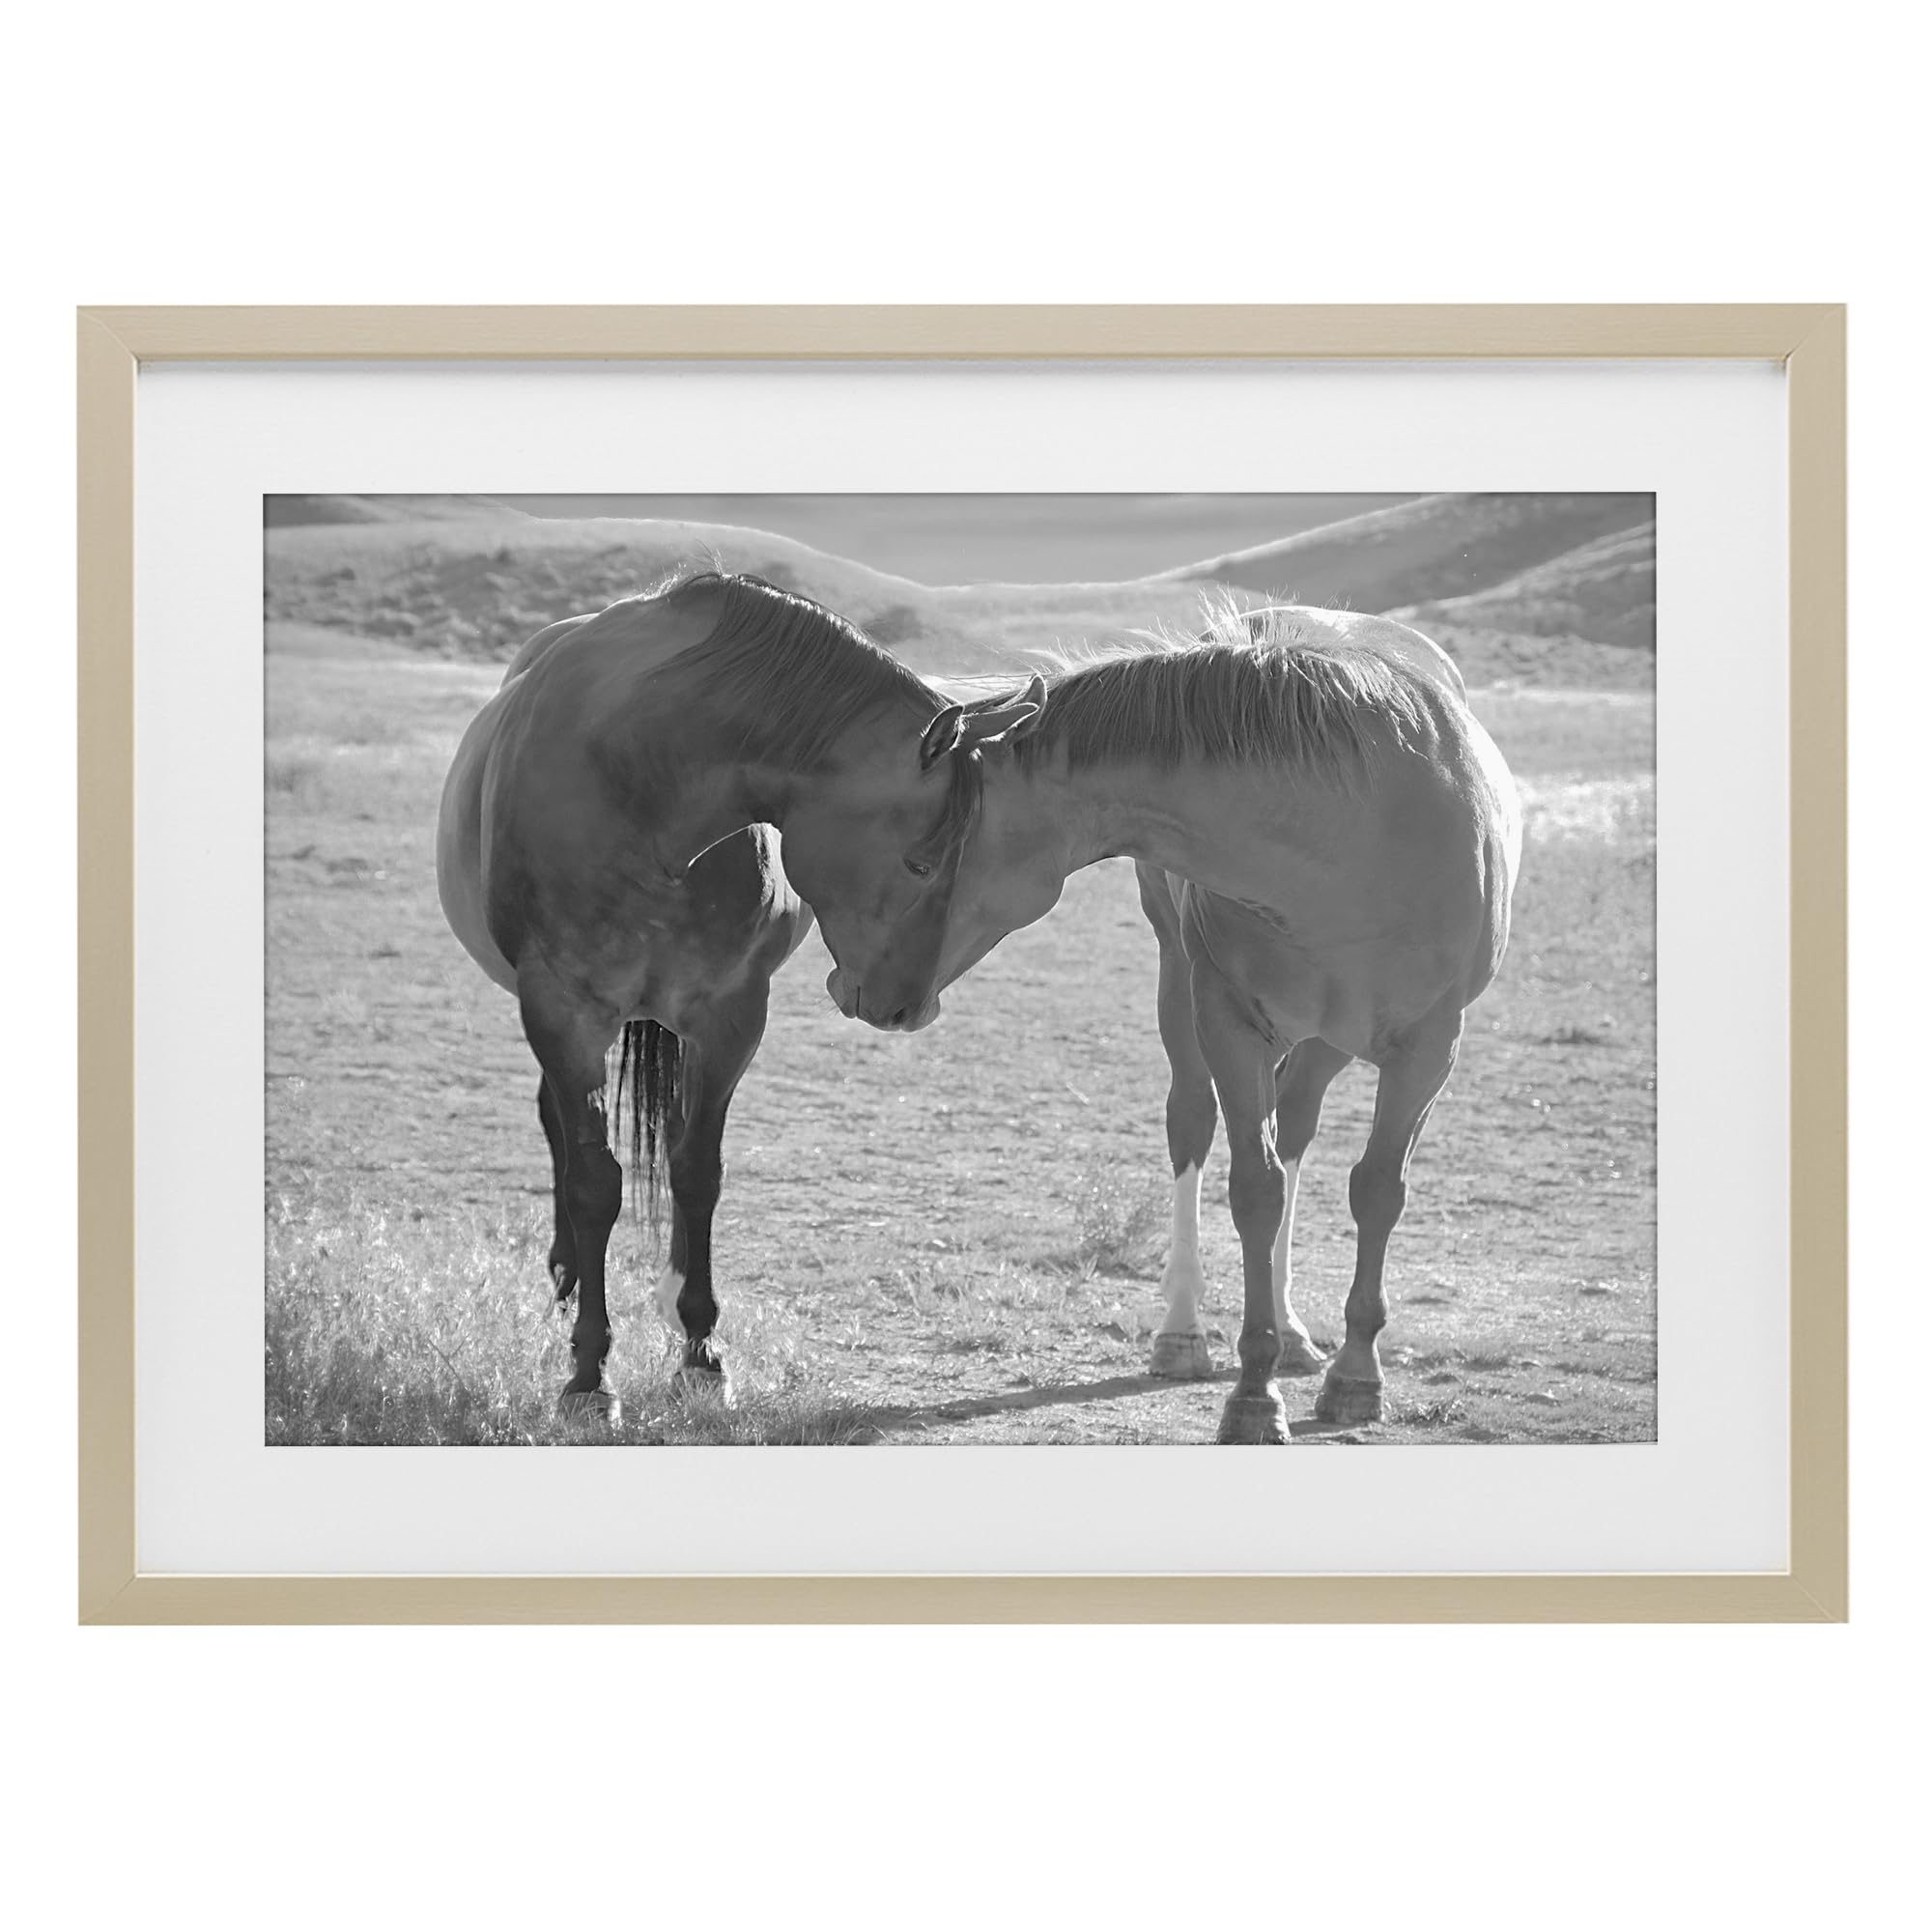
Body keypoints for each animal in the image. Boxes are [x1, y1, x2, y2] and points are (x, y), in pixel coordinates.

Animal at [435, 569, 1036, 1416]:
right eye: (922, 861)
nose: (908, 1008)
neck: (640, 785)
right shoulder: (561, 1012)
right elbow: (594, 1182)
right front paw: (588, 1373)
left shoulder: (728, 1018)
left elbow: (697, 1171)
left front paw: (699, 1351)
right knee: (558, 1126)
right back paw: (566, 1274)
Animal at [860, 597, 1523, 1443]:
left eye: (917, 859)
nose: (865, 993)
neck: (1351, 833)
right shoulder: (1230, 1026)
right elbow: (1254, 1191)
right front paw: (1253, 1393)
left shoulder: (1430, 1049)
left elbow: (1376, 1191)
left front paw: (1355, 1376)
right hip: (1182, 987)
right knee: (1193, 1125)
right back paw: (1182, 1332)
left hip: (1328, 1039)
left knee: (1297, 1126)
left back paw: (1298, 1332)